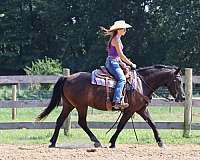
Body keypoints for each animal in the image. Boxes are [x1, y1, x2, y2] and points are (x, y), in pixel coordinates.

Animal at [36, 64, 184, 148]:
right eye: (177, 81)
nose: (182, 97)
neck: (141, 83)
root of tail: (67, 78)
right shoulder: (129, 110)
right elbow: (121, 126)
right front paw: (112, 142)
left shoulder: (141, 109)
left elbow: (152, 124)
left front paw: (160, 142)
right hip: (81, 106)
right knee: (82, 122)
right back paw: (96, 141)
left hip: (69, 105)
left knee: (60, 120)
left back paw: (53, 142)